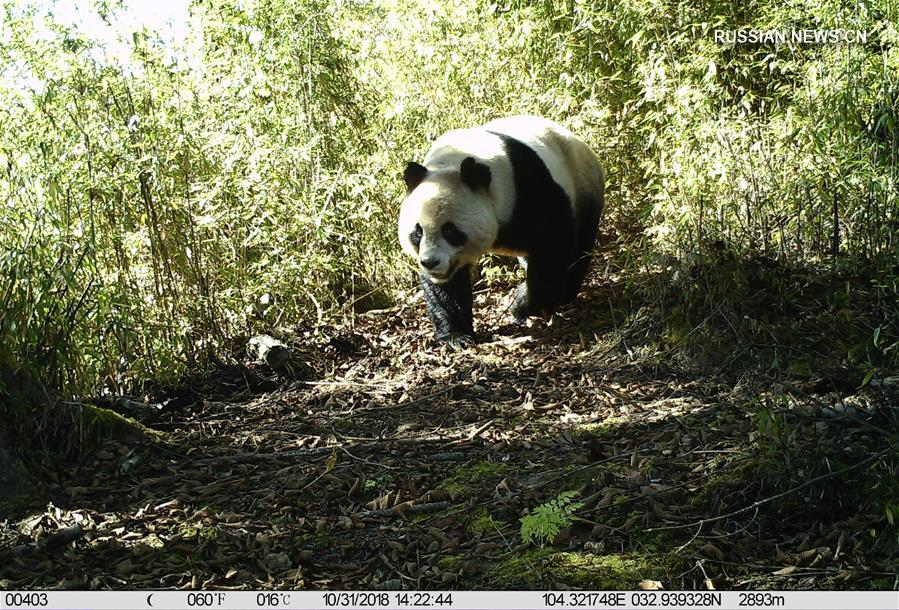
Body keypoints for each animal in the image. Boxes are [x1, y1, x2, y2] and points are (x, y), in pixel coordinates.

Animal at [400, 115, 604, 342]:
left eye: (450, 231)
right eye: (417, 232)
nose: (430, 262)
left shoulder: (527, 189)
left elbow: (552, 246)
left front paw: (521, 305)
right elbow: (447, 287)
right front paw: (456, 335)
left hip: (582, 185)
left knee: (580, 247)